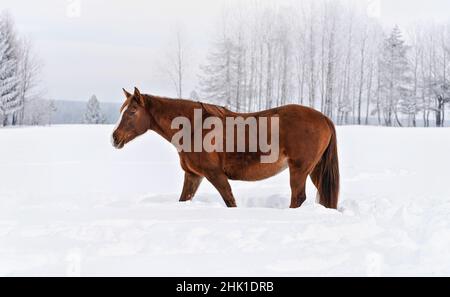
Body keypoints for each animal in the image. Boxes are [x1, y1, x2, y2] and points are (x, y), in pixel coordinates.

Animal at [110, 87, 340, 208]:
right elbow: (184, 199)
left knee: (298, 197)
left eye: (132, 111)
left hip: (299, 170)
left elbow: (229, 199)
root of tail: (324, 118)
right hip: (315, 170)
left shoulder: (215, 174)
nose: (114, 138)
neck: (193, 127)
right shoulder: (193, 175)